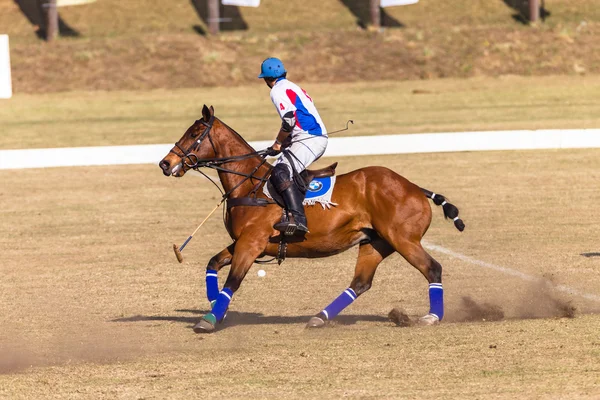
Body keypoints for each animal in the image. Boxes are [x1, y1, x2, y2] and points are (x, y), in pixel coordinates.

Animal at [158, 104, 464, 332]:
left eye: (194, 133)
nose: (165, 163)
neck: (249, 185)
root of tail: (415, 188)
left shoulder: (252, 243)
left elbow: (232, 281)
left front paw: (209, 320)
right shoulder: (247, 243)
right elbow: (213, 263)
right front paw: (216, 309)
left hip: (403, 239)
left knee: (433, 268)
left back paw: (431, 317)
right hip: (375, 242)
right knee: (360, 283)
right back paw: (319, 317)